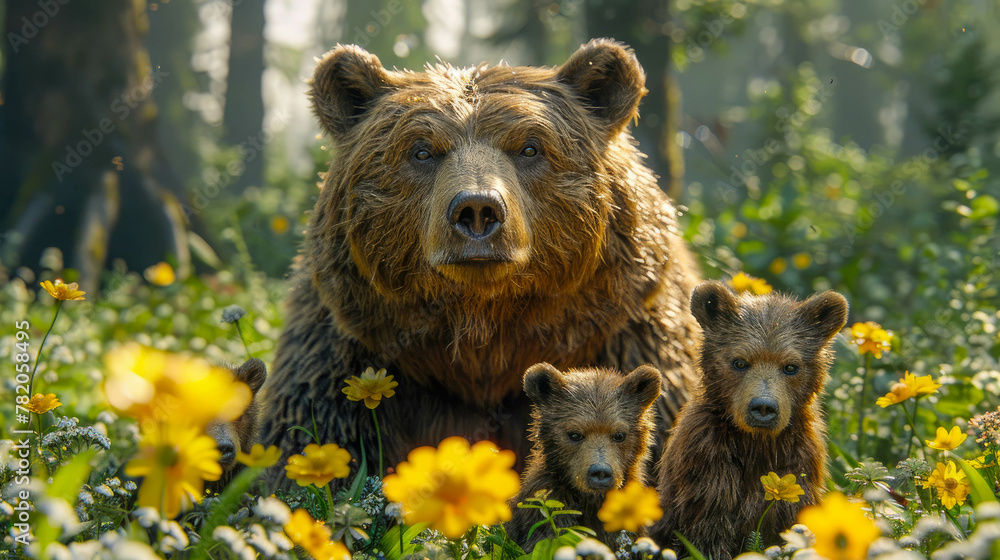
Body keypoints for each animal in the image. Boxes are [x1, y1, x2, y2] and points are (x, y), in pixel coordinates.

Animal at [257, 38, 702, 489]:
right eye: (421, 150)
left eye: (530, 147)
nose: (476, 209)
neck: (483, 337)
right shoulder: (350, 356)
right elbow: (315, 440)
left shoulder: (626, 335)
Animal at [649, 281, 849, 560]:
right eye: (740, 362)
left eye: (791, 366)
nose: (763, 407)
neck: (757, 444)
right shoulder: (710, 466)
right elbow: (708, 533)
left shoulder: (797, 468)